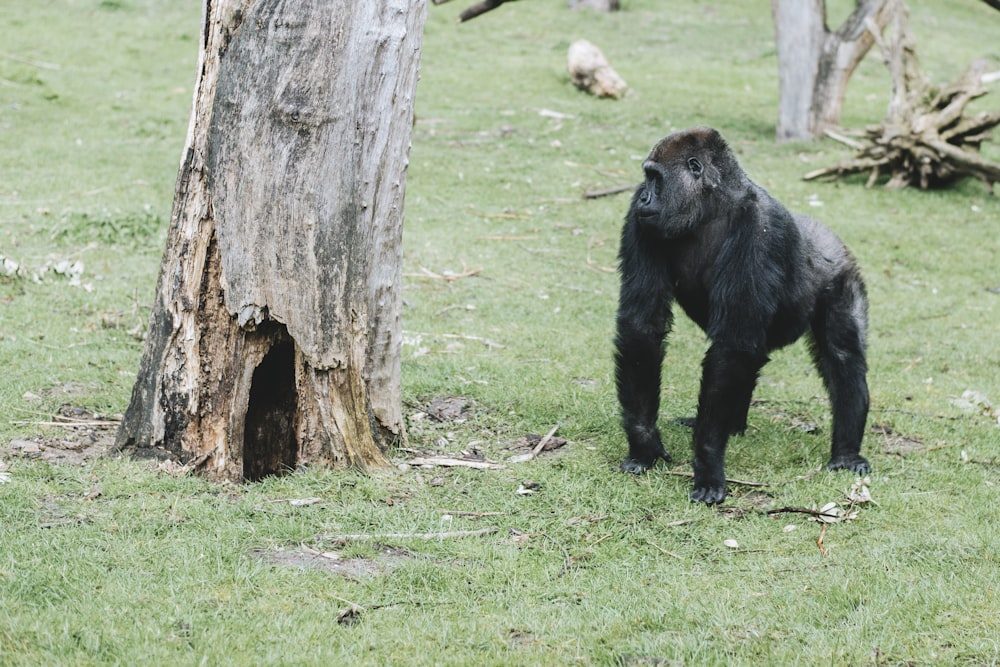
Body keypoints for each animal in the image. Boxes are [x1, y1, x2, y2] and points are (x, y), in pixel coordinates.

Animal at [612, 125, 872, 504]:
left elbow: (732, 345)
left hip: (843, 272)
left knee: (843, 356)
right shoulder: (639, 219)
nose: (644, 197)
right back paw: (733, 425)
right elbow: (643, 326)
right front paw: (644, 443)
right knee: (749, 357)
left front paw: (707, 463)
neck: (712, 206)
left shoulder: (759, 230)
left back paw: (847, 451)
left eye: (655, 178)